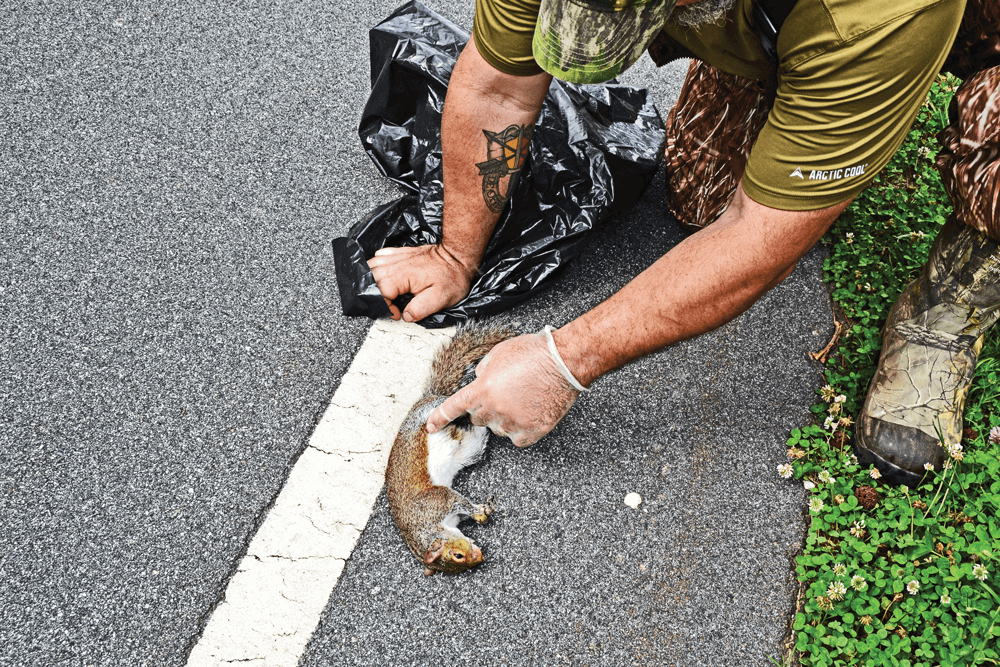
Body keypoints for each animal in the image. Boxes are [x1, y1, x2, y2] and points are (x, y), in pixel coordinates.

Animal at [384, 324, 516, 576]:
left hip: (432, 412)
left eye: (457, 555)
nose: (480, 557)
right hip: (470, 447)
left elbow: (458, 500)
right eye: (459, 562)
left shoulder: (438, 501)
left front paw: (479, 513)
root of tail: (427, 398)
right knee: (478, 428)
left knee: (452, 402)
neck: (427, 527)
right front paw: (482, 512)